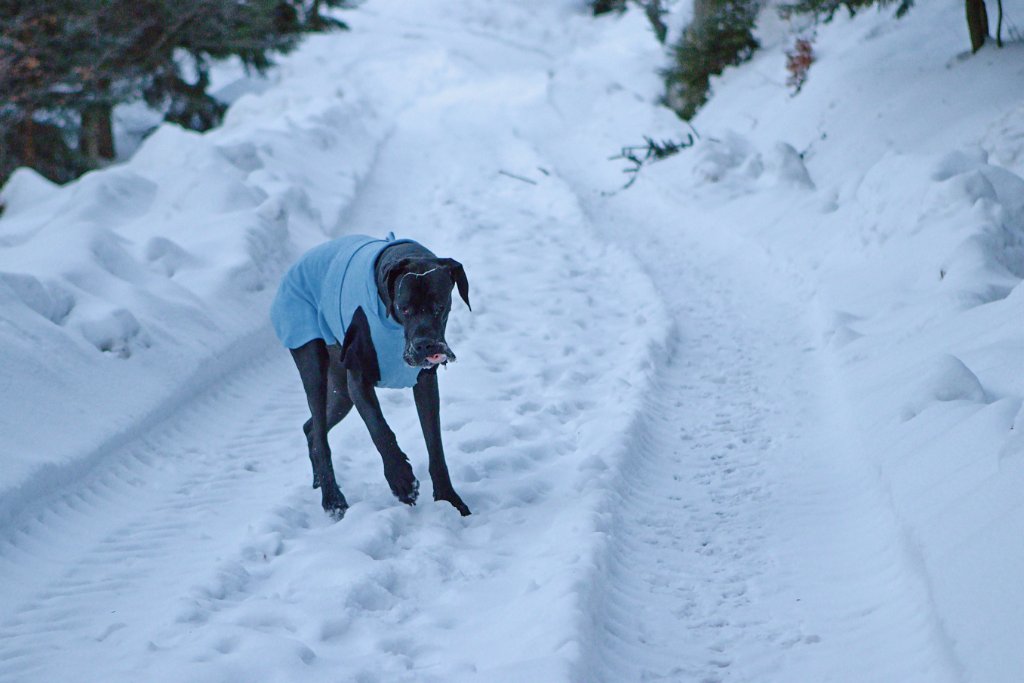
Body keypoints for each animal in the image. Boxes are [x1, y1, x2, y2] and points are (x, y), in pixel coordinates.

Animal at [266, 235, 468, 518]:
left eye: (440, 307)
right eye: (404, 309)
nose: (425, 346)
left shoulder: (426, 383)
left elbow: (434, 443)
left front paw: (449, 500)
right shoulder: (359, 380)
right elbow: (378, 428)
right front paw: (402, 480)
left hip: (340, 393)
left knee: (311, 428)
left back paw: (319, 481)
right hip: (311, 361)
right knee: (319, 435)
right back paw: (333, 499)